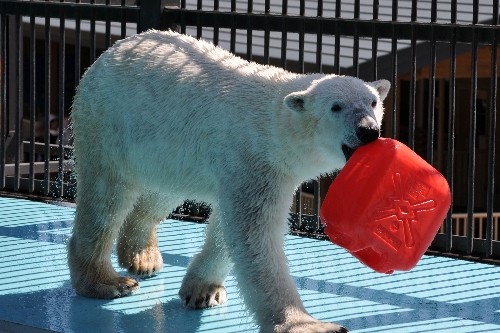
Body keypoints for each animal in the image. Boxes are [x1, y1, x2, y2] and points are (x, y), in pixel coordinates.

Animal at [68, 29, 390, 332]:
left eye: (373, 102)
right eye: (336, 107)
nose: (368, 131)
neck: (274, 125)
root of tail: (108, 53)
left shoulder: (257, 170)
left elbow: (226, 229)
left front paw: (202, 290)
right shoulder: (254, 160)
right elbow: (253, 235)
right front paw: (307, 324)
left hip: (166, 151)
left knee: (161, 193)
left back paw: (141, 257)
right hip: (108, 124)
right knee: (106, 196)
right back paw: (107, 282)